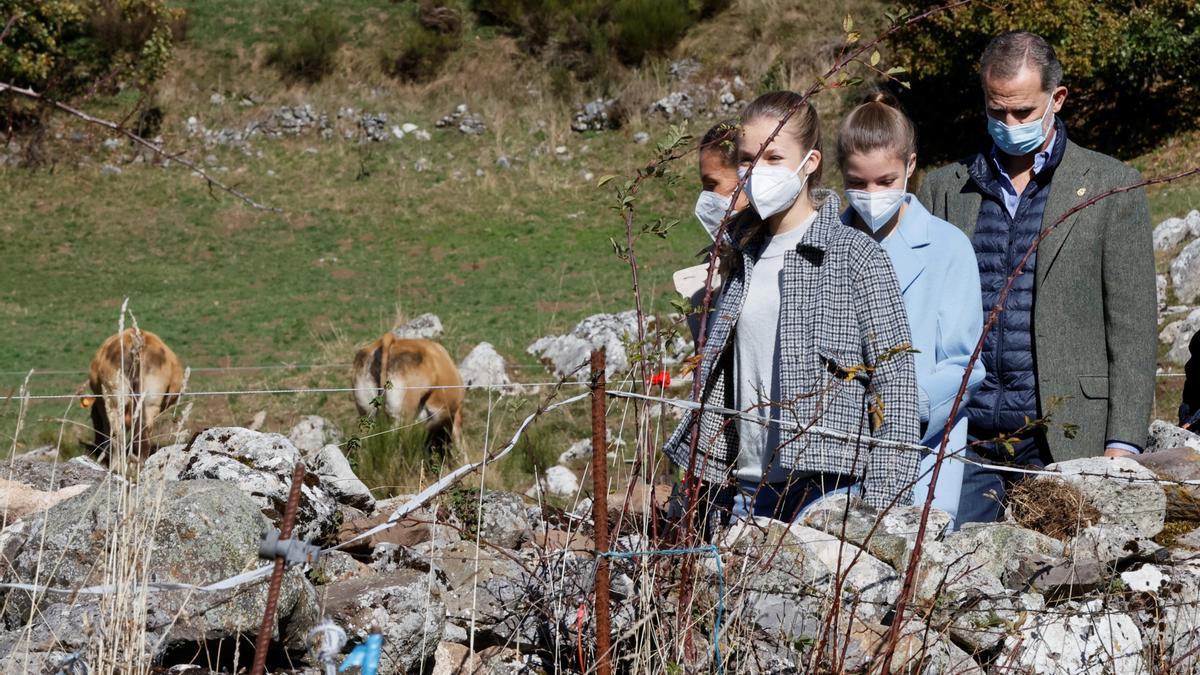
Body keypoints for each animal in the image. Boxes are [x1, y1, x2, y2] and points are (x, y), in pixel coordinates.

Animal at [82, 326, 184, 461]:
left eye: (93, 419)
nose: (96, 449)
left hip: (116, 399)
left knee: (119, 436)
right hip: (147, 402)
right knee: (137, 437)